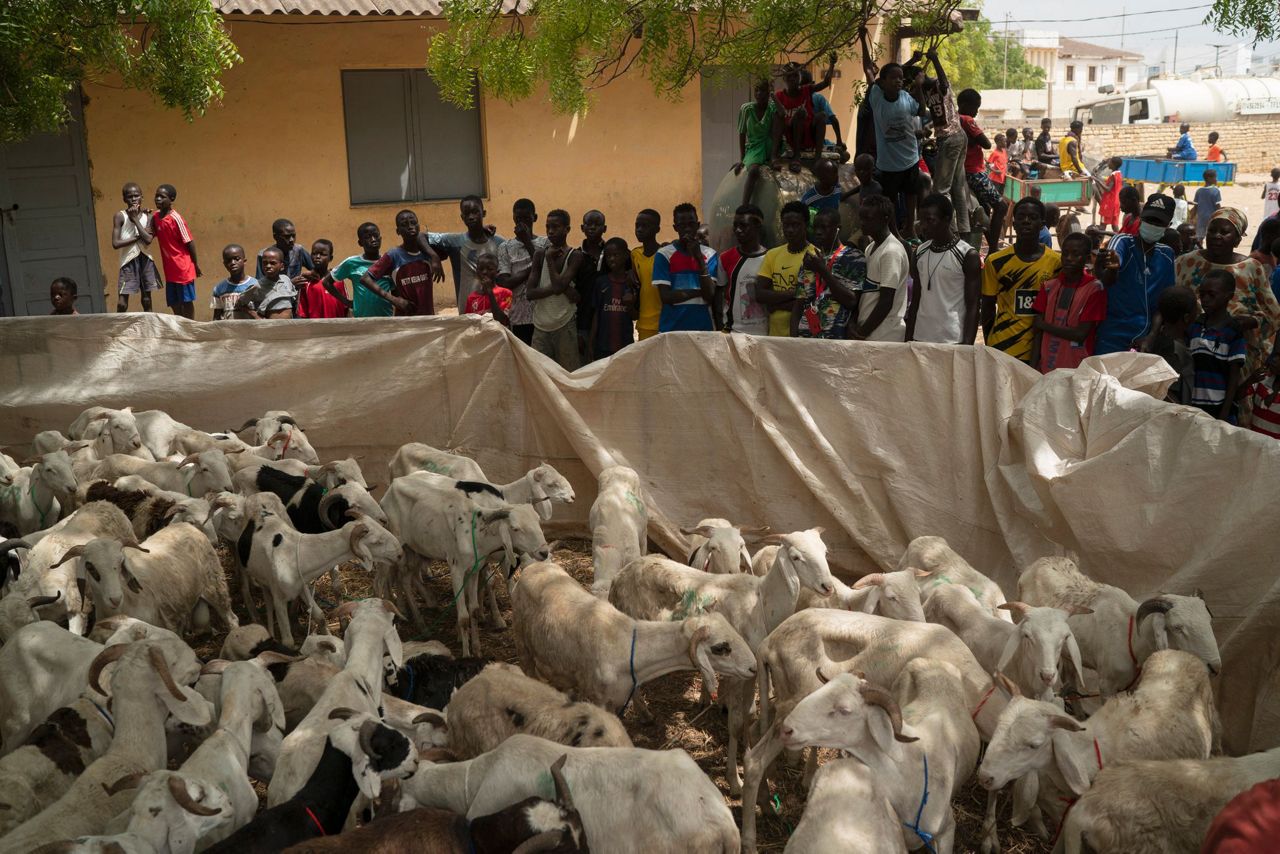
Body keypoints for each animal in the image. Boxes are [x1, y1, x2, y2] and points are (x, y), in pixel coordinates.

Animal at [512, 560, 757, 717]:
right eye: (721, 647)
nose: (754, 667)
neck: (629, 646)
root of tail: (533, 566)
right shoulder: (600, 701)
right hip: (522, 645)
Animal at [1018, 558, 1218, 696]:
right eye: (1177, 627)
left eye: (1209, 621)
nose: (1215, 667)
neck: (1131, 638)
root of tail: (1036, 564)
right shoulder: (1106, 686)